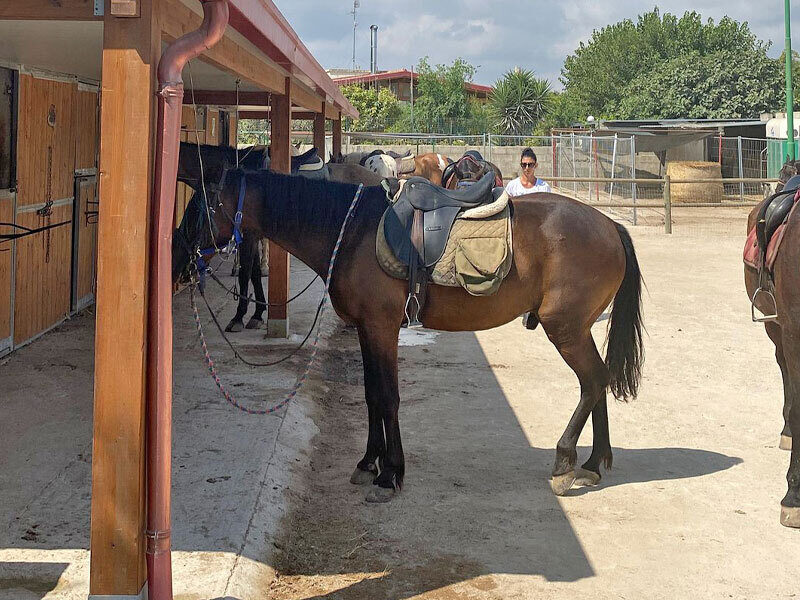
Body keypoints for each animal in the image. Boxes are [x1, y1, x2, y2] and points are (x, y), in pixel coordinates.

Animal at [173, 169, 645, 503]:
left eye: (200, 208)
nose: (178, 261)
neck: (353, 232)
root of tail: (609, 226)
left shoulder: (382, 328)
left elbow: (388, 396)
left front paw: (390, 473)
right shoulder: (366, 329)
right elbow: (371, 393)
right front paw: (369, 461)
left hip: (565, 329)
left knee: (592, 381)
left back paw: (565, 463)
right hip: (577, 330)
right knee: (598, 380)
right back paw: (594, 462)